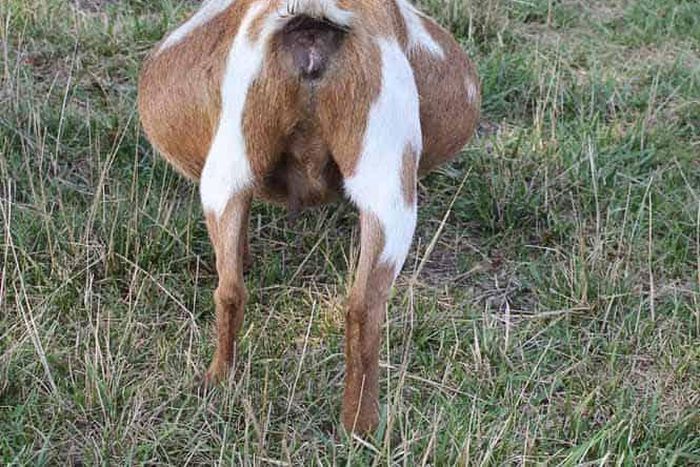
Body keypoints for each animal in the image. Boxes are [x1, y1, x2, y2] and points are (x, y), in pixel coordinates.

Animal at [138, 0, 480, 434]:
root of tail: (314, 23)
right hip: (383, 180)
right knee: (359, 307)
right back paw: (358, 425)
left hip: (234, 169)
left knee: (234, 289)